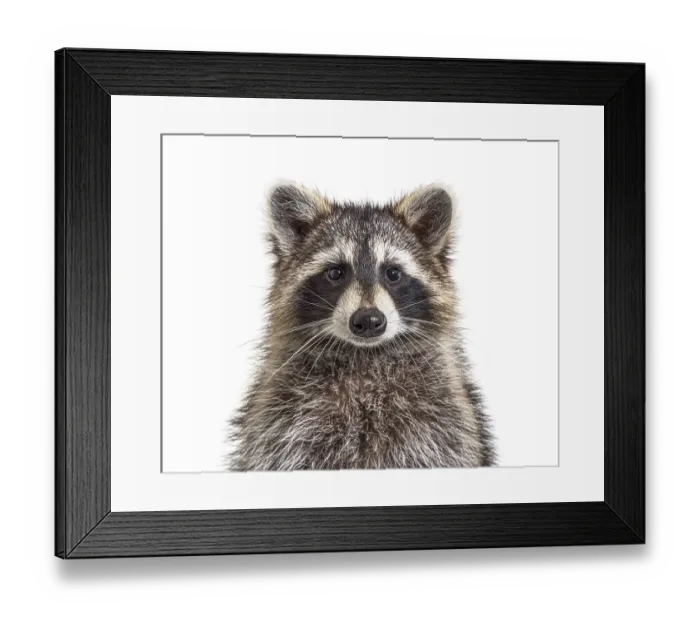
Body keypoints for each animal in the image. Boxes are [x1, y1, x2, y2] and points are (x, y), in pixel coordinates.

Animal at [230, 183, 495, 471]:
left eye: (393, 273)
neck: (364, 356)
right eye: (335, 273)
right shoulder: (280, 421)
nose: (368, 320)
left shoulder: (442, 421)